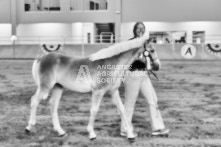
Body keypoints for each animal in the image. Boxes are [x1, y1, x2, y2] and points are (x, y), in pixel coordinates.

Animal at [25, 34, 159, 142]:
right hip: (45, 87)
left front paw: (130, 135)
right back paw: (29, 127)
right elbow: (94, 110)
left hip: (58, 87)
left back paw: (60, 132)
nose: (157, 66)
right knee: (34, 101)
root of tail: (41, 58)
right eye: (152, 50)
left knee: (53, 106)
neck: (110, 64)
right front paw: (91, 134)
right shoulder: (98, 92)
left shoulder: (113, 92)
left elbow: (122, 110)